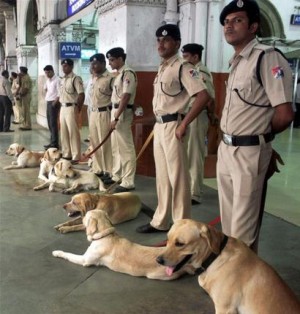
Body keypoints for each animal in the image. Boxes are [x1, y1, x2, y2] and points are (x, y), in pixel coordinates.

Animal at [53, 209, 196, 280]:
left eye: (86, 216)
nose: (81, 218)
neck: (105, 235)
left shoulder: (85, 260)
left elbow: (68, 254)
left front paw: (57, 252)